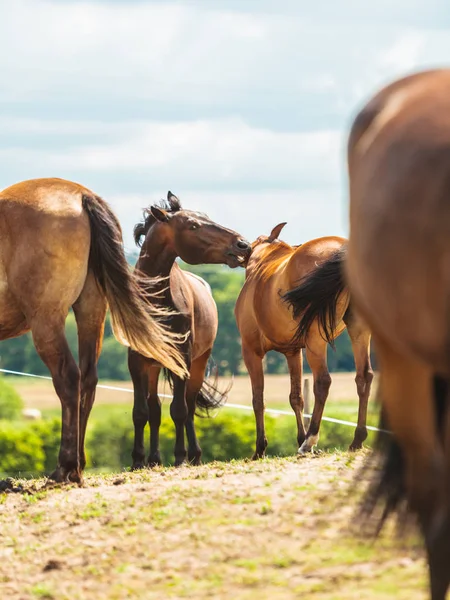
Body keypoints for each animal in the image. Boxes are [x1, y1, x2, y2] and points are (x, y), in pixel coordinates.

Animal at [0, 177, 187, 482]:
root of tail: (81, 196)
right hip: (91, 312)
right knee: (87, 380)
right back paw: (77, 465)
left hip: (47, 321)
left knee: (68, 379)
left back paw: (65, 466)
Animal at [128, 192, 251, 468]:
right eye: (193, 225)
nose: (243, 245)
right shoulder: (137, 361)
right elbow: (141, 412)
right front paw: (138, 461)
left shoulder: (182, 358)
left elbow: (179, 410)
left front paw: (180, 457)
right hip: (154, 367)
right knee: (155, 409)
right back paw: (153, 459)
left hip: (198, 363)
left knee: (189, 406)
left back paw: (193, 454)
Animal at [234, 225, 370, 460]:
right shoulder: (293, 352)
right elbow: (296, 398)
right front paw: (299, 437)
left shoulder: (250, 351)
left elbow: (258, 400)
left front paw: (260, 448)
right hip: (358, 331)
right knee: (364, 378)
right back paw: (356, 440)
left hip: (316, 339)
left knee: (323, 381)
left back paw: (310, 440)